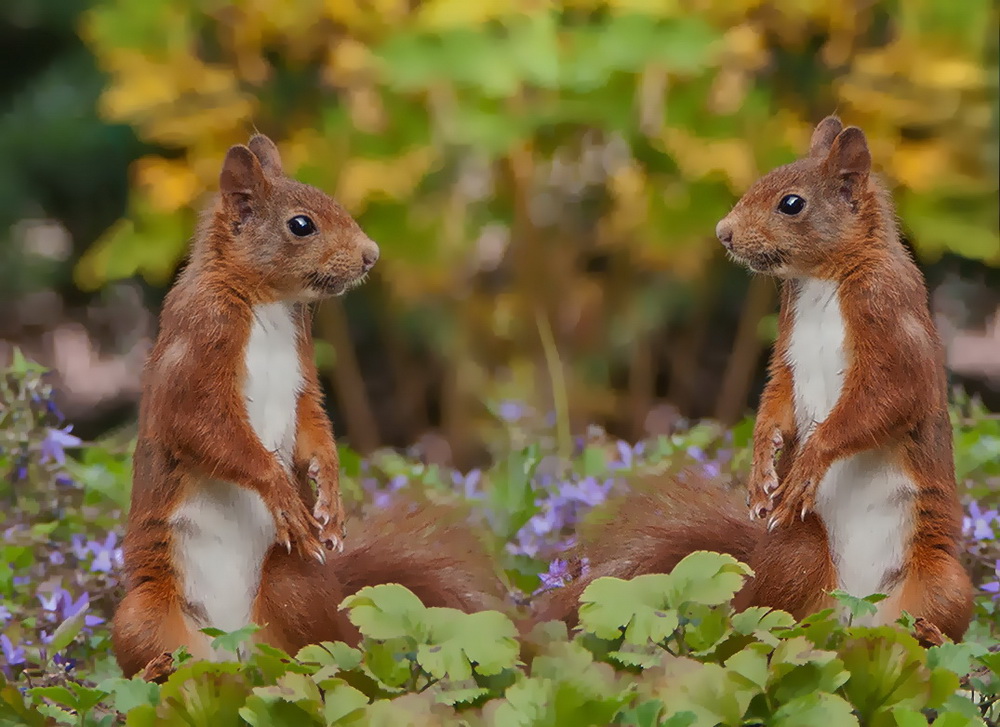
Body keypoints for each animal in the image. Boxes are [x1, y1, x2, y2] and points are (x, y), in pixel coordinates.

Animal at [112, 132, 504, 676]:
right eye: (301, 225)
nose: (371, 255)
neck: (268, 302)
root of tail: (231, 653)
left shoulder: (303, 369)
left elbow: (312, 423)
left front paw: (330, 497)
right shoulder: (198, 345)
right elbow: (202, 427)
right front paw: (282, 491)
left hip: (293, 585)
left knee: (318, 653)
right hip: (143, 615)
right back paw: (160, 669)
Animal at [536, 115, 972, 644]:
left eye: (791, 203)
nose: (723, 234)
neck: (824, 278)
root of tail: (858, 617)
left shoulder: (890, 320)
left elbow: (886, 400)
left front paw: (807, 463)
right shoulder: (787, 343)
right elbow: (776, 396)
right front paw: (763, 465)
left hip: (942, 582)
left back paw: (929, 636)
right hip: (798, 555)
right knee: (777, 621)